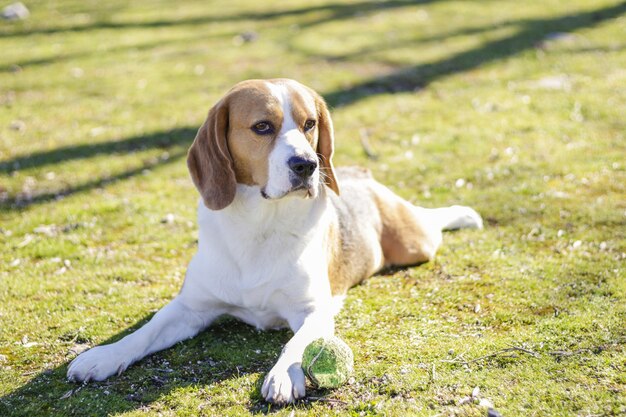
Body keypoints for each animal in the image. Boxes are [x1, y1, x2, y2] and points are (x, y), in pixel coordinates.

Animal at [66, 78, 480, 404]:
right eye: (262, 126)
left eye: (310, 123)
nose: (308, 165)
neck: (260, 225)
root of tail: (358, 172)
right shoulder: (190, 308)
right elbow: (145, 331)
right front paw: (103, 357)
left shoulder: (313, 310)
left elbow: (296, 344)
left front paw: (282, 375)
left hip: (414, 243)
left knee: (431, 221)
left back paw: (463, 214)